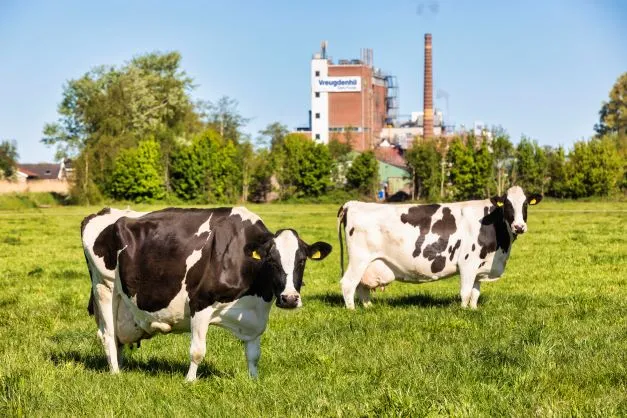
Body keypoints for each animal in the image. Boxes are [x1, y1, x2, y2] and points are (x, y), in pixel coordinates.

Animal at [82, 207, 334, 380]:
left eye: (302, 261)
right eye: (271, 260)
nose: (289, 298)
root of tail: (104, 212)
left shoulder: (255, 315)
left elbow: (253, 354)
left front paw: (254, 380)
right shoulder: (200, 303)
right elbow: (197, 351)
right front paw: (189, 381)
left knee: (117, 337)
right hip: (104, 287)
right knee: (108, 334)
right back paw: (116, 374)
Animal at [336, 186, 544, 310]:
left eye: (525, 204)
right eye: (507, 205)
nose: (519, 226)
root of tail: (353, 203)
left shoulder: (480, 267)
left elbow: (475, 293)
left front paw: (474, 310)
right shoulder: (468, 263)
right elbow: (466, 292)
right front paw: (463, 311)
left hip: (369, 263)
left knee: (362, 286)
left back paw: (369, 307)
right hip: (359, 258)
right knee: (348, 283)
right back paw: (352, 310)